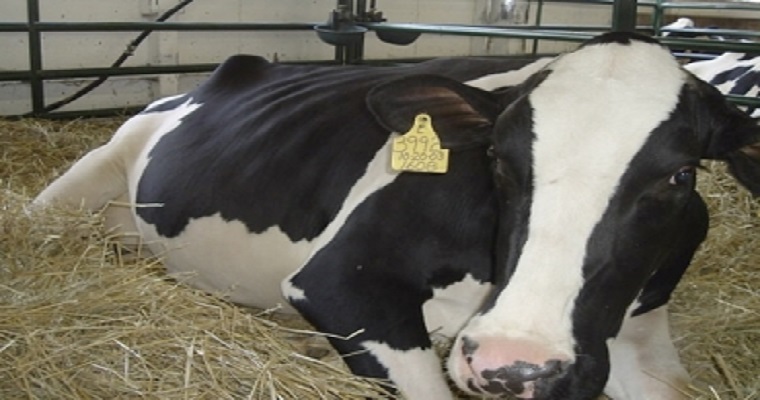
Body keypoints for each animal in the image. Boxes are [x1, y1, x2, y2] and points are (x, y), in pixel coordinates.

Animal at [33, 32, 760, 400]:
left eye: (679, 175)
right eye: (497, 157)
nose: (515, 364)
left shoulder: (641, 333)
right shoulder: (340, 281)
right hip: (88, 173)